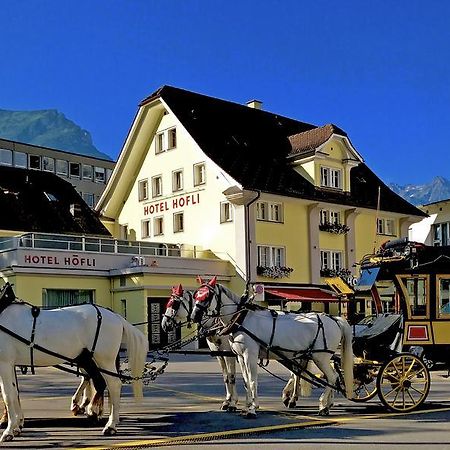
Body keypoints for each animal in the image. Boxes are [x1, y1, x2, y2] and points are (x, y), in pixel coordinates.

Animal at [0, 284, 148, 442]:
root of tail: (116, 317)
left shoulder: (4, 363)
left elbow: (8, 395)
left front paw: (9, 430)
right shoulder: (10, 364)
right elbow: (14, 393)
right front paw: (17, 426)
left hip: (104, 359)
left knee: (113, 384)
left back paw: (110, 425)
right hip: (89, 359)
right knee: (98, 381)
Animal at [162, 284, 239, 412]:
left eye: (174, 304)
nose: (164, 324)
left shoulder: (229, 354)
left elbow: (232, 376)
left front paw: (233, 403)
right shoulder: (219, 354)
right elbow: (226, 376)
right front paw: (227, 401)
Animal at [189, 278, 352, 418]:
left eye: (208, 296)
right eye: (196, 295)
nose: (194, 316)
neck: (241, 319)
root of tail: (335, 319)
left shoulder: (249, 355)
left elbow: (252, 380)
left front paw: (252, 409)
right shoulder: (240, 356)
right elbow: (246, 381)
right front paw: (247, 405)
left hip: (321, 357)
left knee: (332, 377)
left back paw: (323, 405)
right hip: (310, 355)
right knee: (318, 376)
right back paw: (326, 404)